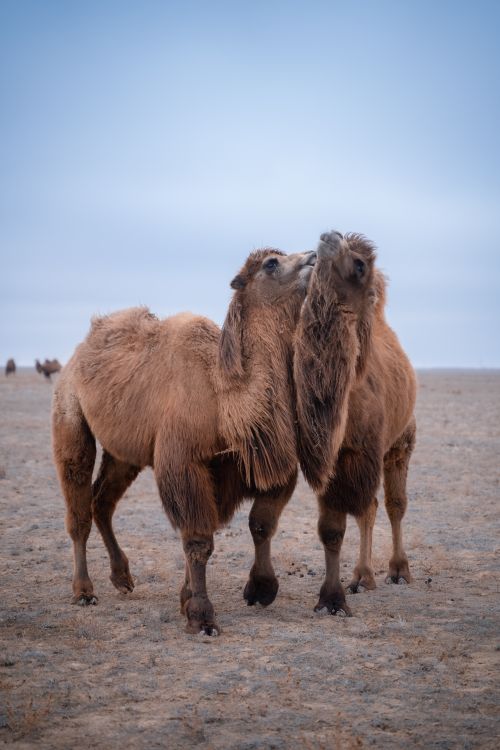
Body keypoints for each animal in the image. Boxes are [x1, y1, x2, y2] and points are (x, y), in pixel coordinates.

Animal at [52, 248, 316, 635]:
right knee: (79, 506)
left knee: (103, 501)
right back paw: (84, 591)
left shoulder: (251, 463)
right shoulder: (182, 461)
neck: (223, 399)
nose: (313, 256)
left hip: (125, 453)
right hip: (69, 414)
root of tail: (76, 355)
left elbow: (261, 522)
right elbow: (197, 540)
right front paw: (201, 615)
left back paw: (122, 577)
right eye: (271, 263)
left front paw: (258, 589)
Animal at [293, 230, 416, 616]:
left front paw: (340, 596)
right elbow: (330, 530)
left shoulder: (364, 453)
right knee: (372, 508)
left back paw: (396, 571)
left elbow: (364, 510)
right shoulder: (329, 463)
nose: (328, 235)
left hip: (401, 442)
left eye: (360, 265)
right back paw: (362, 576)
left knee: (392, 504)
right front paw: (331, 599)